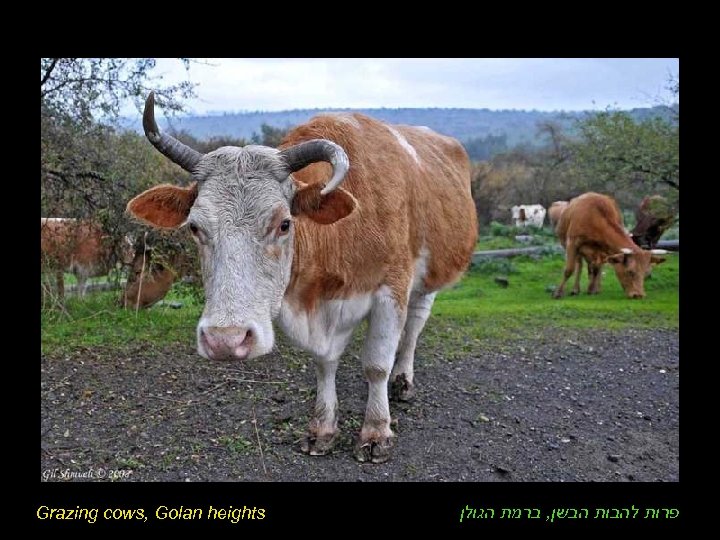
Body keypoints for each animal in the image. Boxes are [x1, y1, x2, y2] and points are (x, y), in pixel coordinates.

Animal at [126, 90, 478, 462]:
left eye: (284, 223)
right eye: (194, 227)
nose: (226, 340)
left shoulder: (391, 289)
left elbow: (377, 364)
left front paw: (376, 431)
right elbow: (325, 363)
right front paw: (322, 428)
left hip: (430, 279)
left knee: (413, 328)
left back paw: (402, 380)